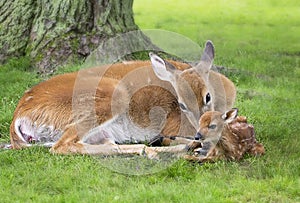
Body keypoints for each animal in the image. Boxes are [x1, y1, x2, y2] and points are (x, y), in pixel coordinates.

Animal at [9, 40, 237, 157]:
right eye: (181, 104)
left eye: (207, 96)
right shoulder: (171, 125)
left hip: (102, 132)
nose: (200, 130)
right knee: (61, 146)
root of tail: (18, 116)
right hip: (112, 95)